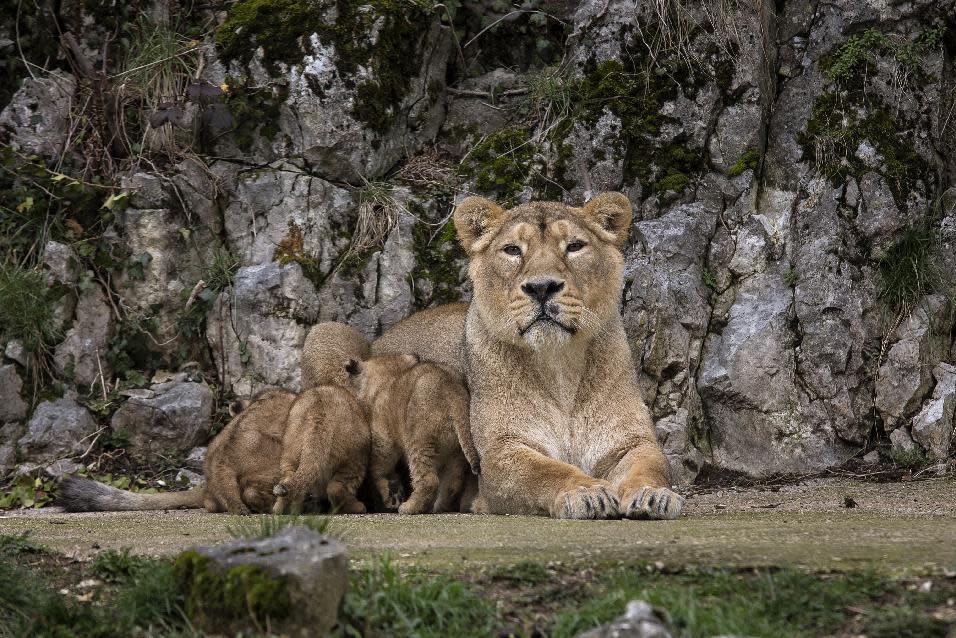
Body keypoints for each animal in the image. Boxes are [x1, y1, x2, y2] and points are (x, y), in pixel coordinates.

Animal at [370, 194, 684, 520]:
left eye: (574, 246)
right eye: (512, 250)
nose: (542, 287)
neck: (559, 366)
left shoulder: (630, 443)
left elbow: (651, 466)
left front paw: (653, 496)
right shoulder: (501, 452)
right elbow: (548, 472)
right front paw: (587, 493)